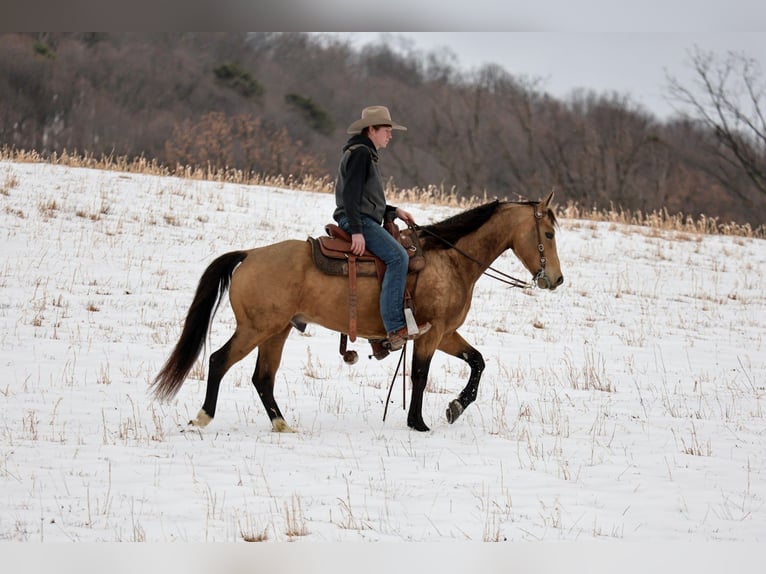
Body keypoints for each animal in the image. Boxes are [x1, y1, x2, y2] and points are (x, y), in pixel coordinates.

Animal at [151, 192, 563, 432]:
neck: (449, 260)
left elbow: (477, 361)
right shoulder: (430, 334)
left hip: (277, 330)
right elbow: (420, 376)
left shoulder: (445, 333)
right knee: (219, 361)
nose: (556, 279)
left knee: (262, 378)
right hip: (256, 328)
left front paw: (456, 407)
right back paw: (203, 416)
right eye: (549, 234)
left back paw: (282, 424)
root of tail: (250, 254)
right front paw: (418, 423)